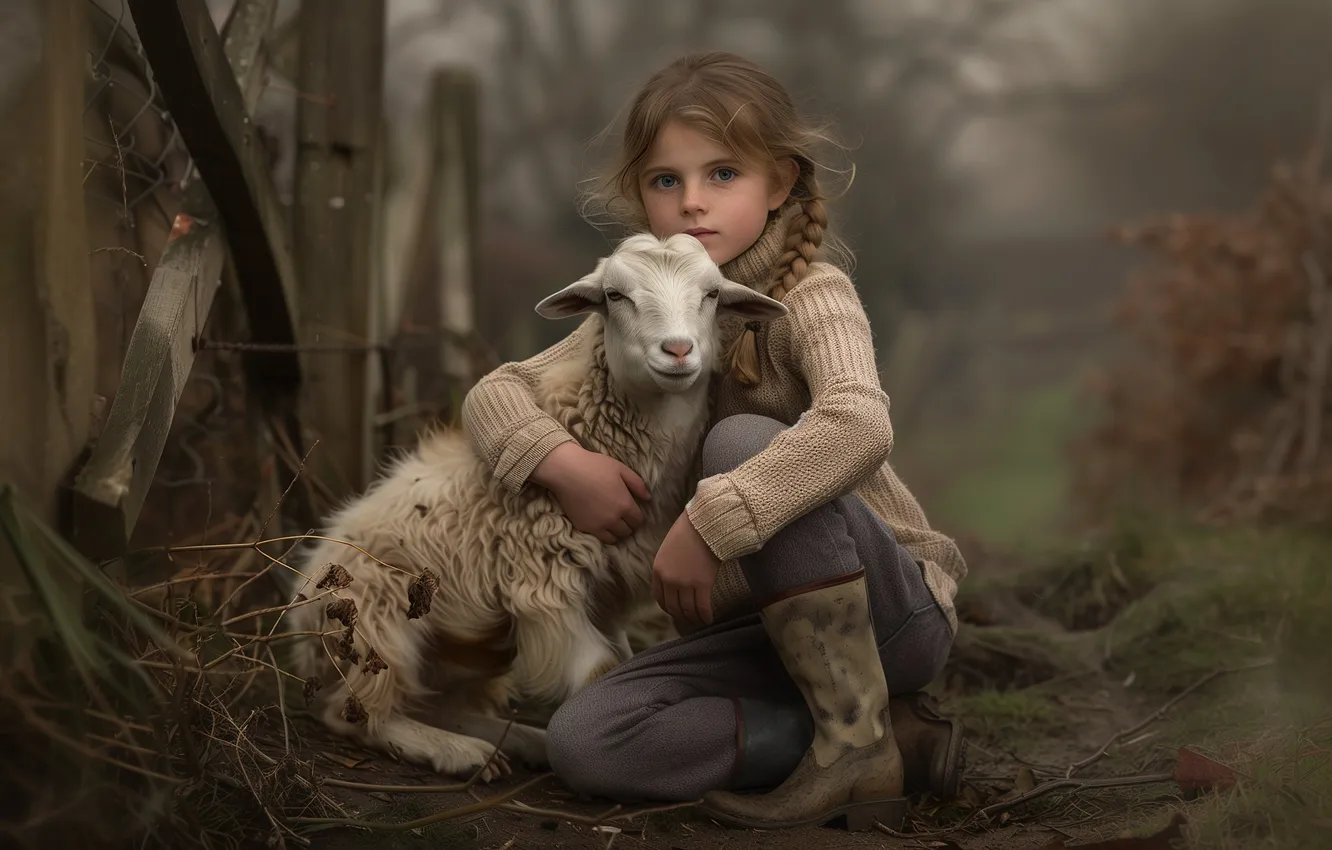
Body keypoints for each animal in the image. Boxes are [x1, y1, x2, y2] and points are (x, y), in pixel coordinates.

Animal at [284, 232, 787, 780]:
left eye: (712, 294)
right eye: (614, 296)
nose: (677, 350)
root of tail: (298, 628)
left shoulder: (605, 592)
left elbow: (618, 658)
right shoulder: (546, 581)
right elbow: (600, 672)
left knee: (431, 701)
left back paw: (513, 744)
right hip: (374, 620)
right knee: (354, 712)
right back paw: (456, 752)